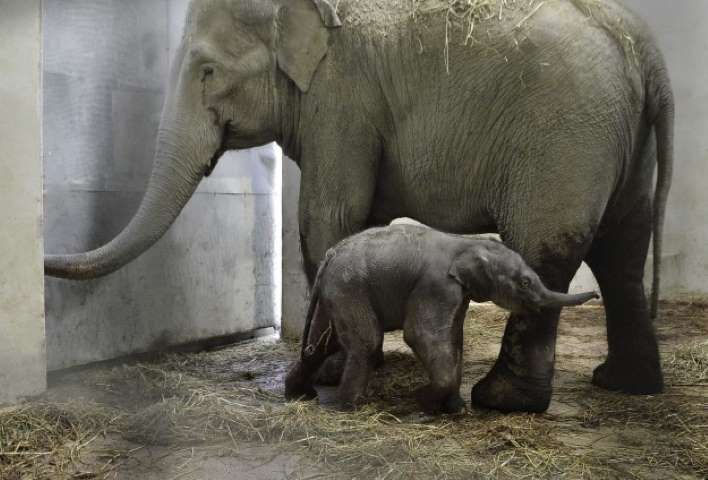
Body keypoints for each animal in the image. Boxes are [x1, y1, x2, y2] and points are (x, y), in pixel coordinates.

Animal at [282, 225, 596, 412]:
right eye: (525, 283)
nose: (595, 294)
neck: (467, 243)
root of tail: (330, 256)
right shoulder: (436, 285)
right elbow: (422, 335)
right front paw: (419, 402)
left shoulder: (457, 292)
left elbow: (454, 338)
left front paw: (456, 409)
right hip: (349, 287)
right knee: (365, 343)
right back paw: (346, 407)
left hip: (335, 292)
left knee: (319, 345)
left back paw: (300, 396)